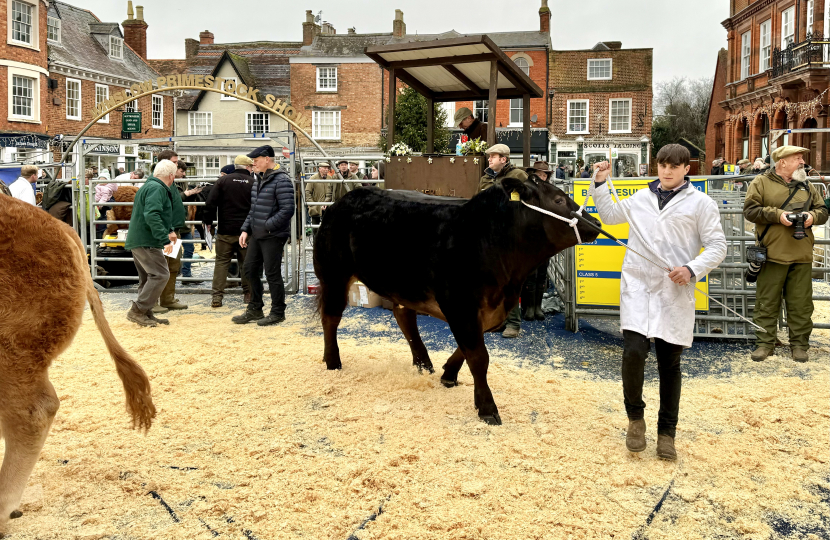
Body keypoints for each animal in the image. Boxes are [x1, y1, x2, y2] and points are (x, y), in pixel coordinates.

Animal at [316, 175, 600, 424]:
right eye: (559, 199)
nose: (594, 225)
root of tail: (343, 200)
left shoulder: (490, 308)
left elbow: (469, 348)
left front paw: (448, 374)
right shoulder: (460, 306)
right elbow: (478, 356)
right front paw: (487, 408)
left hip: (403, 285)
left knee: (404, 316)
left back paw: (424, 363)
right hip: (333, 275)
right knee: (330, 317)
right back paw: (333, 361)